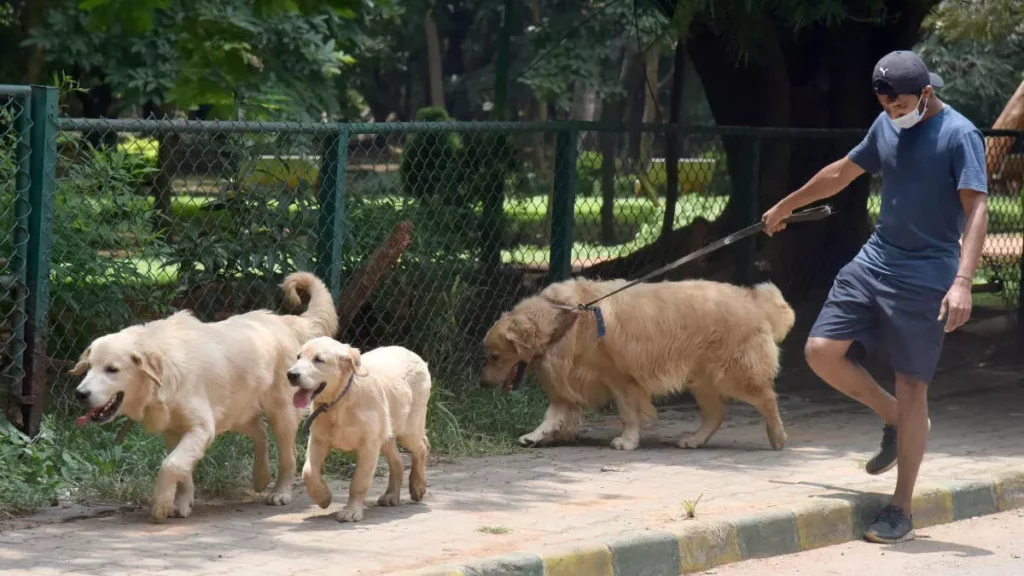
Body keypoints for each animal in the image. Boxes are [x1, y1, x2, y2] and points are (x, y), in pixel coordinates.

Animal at [69, 270, 339, 520]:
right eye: (89, 367)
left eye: (112, 369)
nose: (80, 394)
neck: (164, 375)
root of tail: (282, 321)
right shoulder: (175, 431)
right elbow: (182, 471)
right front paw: (181, 503)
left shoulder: (200, 428)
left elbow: (171, 465)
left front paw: (161, 504)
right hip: (234, 413)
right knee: (260, 432)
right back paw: (260, 477)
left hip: (280, 414)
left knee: (287, 455)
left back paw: (280, 492)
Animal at [288, 338, 432, 522]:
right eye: (298, 357)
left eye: (319, 360)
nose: (291, 374)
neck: (339, 401)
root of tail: (411, 353)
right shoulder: (319, 439)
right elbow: (308, 472)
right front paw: (323, 497)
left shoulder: (369, 444)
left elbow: (359, 482)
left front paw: (351, 511)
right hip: (386, 432)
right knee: (398, 460)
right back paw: (391, 495)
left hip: (409, 428)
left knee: (422, 446)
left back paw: (418, 485)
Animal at [477, 276, 790, 448]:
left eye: (494, 356)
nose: (482, 384)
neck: (565, 319)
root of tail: (754, 301)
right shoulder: (572, 382)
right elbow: (552, 415)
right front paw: (534, 436)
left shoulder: (619, 378)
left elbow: (627, 414)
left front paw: (627, 441)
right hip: (700, 379)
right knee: (716, 414)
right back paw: (694, 439)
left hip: (734, 374)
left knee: (767, 398)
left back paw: (778, 437)